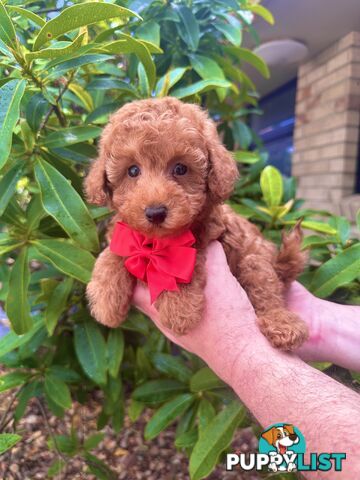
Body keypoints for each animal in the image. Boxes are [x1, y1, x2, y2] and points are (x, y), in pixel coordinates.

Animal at [84, 96, 306, 348]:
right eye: (132, 171)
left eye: (180, 168)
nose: (155, 212)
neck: (154, 242)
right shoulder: (123, 234)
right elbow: (112, 254)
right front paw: (105, 300)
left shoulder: (208, 234)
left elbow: (179, 261)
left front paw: (179, 309)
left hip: (256, 261)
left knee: (268, 294)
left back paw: (283, 325)